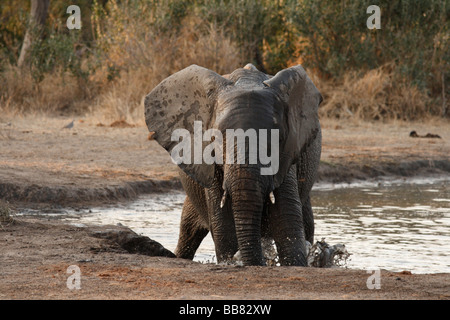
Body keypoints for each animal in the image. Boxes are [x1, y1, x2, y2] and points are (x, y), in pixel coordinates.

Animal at [144, 62, 324, 264]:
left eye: (277, 137)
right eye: (216, 137)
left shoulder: (287, 158)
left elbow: (287, 223)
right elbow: (225, 228)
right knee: (188, 233)